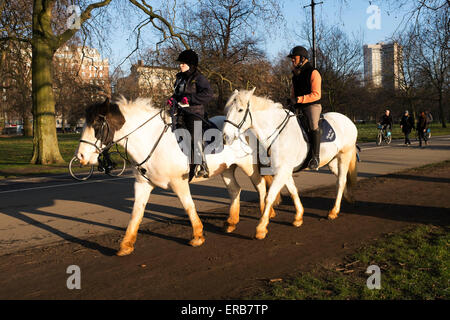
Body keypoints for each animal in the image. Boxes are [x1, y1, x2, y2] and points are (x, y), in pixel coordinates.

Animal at [76, 95, 270, 255]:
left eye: (96, 125)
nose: (81, 156)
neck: (150, 141)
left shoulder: (179, 183)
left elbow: (188, 206)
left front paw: (197, 236)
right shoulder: (142, 185)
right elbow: (136, 213)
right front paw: (126, 244)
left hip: (248, 166)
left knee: (260, 187)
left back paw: (264, 219)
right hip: (227, 169)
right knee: (235, 190)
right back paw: (231, 222)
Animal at [222, 89, 358, 239]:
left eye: (240, 110)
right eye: (227, 109)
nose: (225, 137)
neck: (277, 133)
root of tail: (348, 120)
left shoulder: (282, 170)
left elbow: (270, 196)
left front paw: (261, 228)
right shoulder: (283, 170)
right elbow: (293, 191)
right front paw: (298, 217)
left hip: (344, 156)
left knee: (341, 181)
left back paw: (334, 211)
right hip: (332, 162)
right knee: (342, 179)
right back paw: (348, 198)